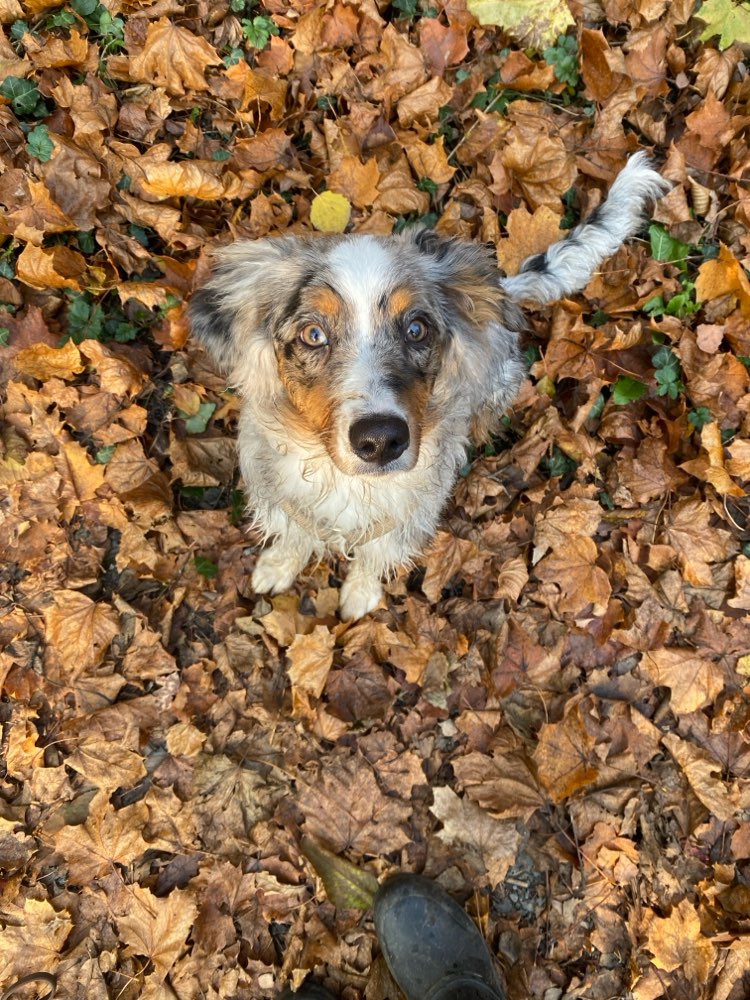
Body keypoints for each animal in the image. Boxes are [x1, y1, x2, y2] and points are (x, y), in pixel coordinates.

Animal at [192, 152, 668, 620]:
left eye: (417, 329)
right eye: (313, 334)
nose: (380, 441)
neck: (348, 483)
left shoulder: (407, 517)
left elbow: (374, 557)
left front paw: (359, 595)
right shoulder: (280, 494)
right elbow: (294, 534)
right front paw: (277, 567)